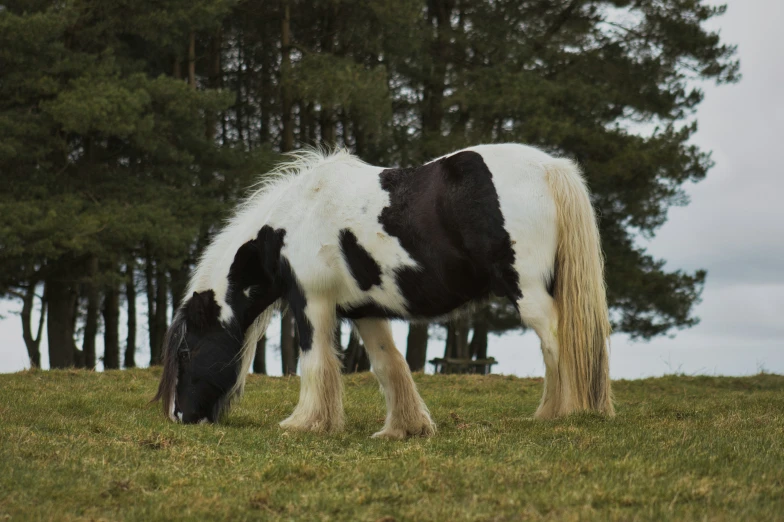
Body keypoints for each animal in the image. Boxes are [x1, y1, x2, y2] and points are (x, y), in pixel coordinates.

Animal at [155, 142, 612, 434]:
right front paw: (405, 428)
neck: (296, 217)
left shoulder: (310, 302)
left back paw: (561, 414)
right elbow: (388, 365)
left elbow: (315, 361)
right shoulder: (365, 311)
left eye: (186, 352)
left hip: (529, 292)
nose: (179, 417)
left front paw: (305, 423)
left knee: (558, 342)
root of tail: (550, 169)